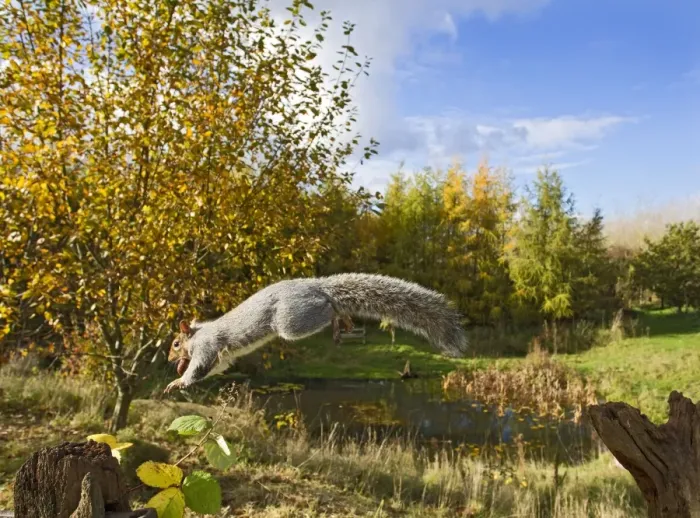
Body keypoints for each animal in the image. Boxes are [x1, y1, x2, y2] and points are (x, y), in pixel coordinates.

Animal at [164, 273, 467, 393]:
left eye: (176, 343)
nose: (169, 359)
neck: (200, 331)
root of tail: (316, 286)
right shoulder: (222, 356)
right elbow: (219, 367)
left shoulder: (206, 346)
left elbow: (198, 368)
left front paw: (178, 381)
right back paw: (344, 322)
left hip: (292, 321)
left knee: (327, 309)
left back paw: (338, 319)